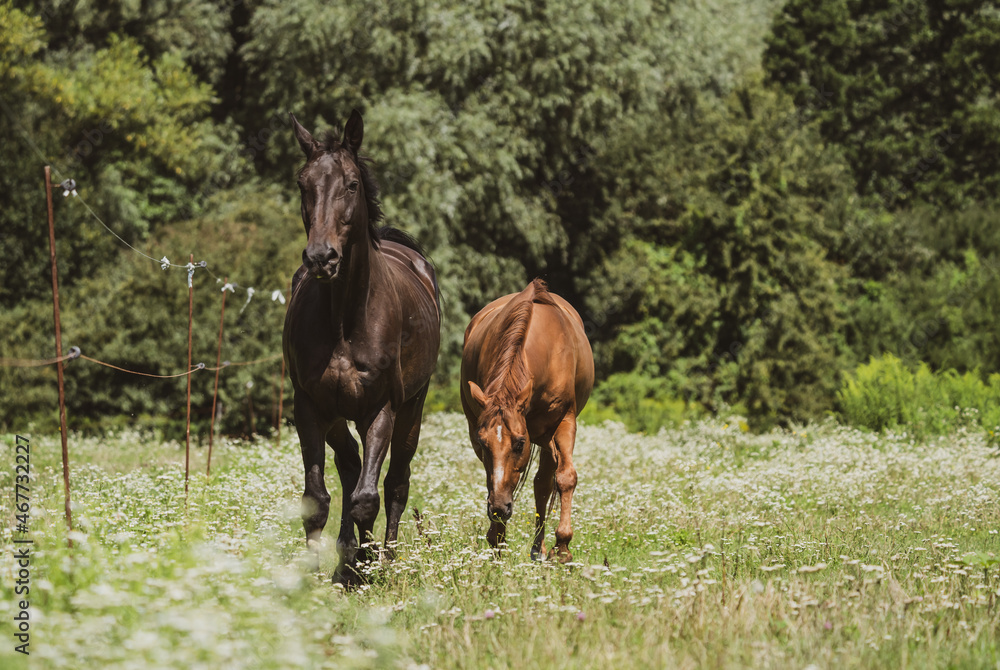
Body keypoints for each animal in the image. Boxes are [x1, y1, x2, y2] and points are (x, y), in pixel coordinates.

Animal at [283, 109, 441, 583]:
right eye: (303, 184)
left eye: (351, 184)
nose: (322, 258)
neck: (344, 320)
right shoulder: (310, 407)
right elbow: (318, 498)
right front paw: (322, 573)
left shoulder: (380, 409)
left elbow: (368, 497)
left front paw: (368, 568)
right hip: (337, 415)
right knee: (351, 467)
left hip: (412, 408)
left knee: (394, 482)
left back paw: (382, 556)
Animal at [460, 278, 594, 562]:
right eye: (484, 444)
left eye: (520, 443)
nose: (499, 509)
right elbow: (493, 478)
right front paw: (497, 539)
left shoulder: (564, 422)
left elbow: (565, 477)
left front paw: (563, 546)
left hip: (547, 438)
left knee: (543, 483)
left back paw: (540, 549)